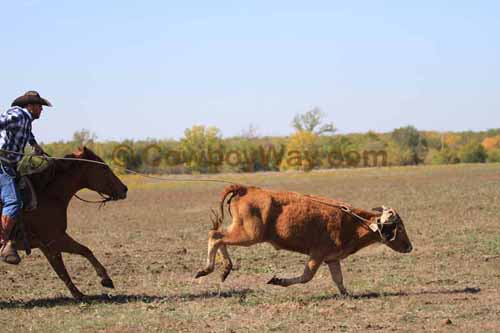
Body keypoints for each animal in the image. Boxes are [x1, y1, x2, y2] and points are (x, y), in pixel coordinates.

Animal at [6, 147, 128, 296]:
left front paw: (95, 284)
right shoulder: (54, 240)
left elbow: (78, 256)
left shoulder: (48, 244)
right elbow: (69, 264)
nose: (124, 189)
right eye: (103, 167)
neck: (47, 195)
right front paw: (96, 284)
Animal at [196, 183, 414, 294]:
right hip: (249, 235)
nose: (410, 247)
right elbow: (306, 276)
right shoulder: (317, 254)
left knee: (219, 236)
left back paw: (225, 269)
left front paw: (347, 294)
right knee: (215, 236)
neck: (351, 222)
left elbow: (338, 279)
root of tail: (246, 188)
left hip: (241, 231)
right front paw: (277, 280)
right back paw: (207, 269)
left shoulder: (332, 258)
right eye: (399, 227)